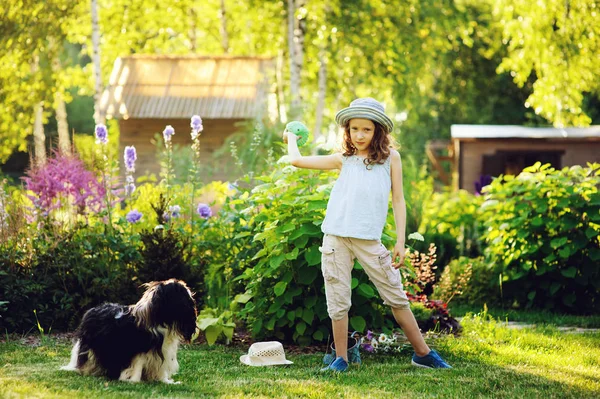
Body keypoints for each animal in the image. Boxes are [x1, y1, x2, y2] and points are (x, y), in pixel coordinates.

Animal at [61, 278, 197, 384]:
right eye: (181, 292)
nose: (190, 292)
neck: (158, 317)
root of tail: (92, 309)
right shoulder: (138, 349)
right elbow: (138, 364)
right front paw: (134, 381)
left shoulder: (164, 350)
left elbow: (161, 368)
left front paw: (165, 381)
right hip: (89, 347)